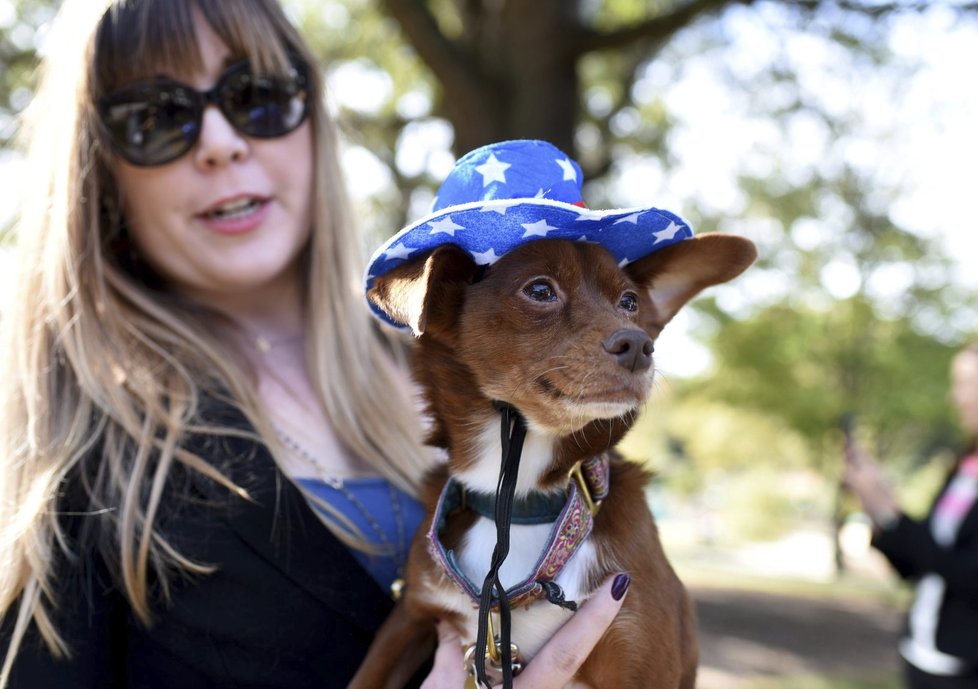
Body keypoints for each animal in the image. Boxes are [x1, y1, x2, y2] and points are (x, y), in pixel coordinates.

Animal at [350, 232, 756, 688]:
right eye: (540, 290)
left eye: (630, 302)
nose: (639, 344)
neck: (520, 501)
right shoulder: (410, 617)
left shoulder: (639, 654)